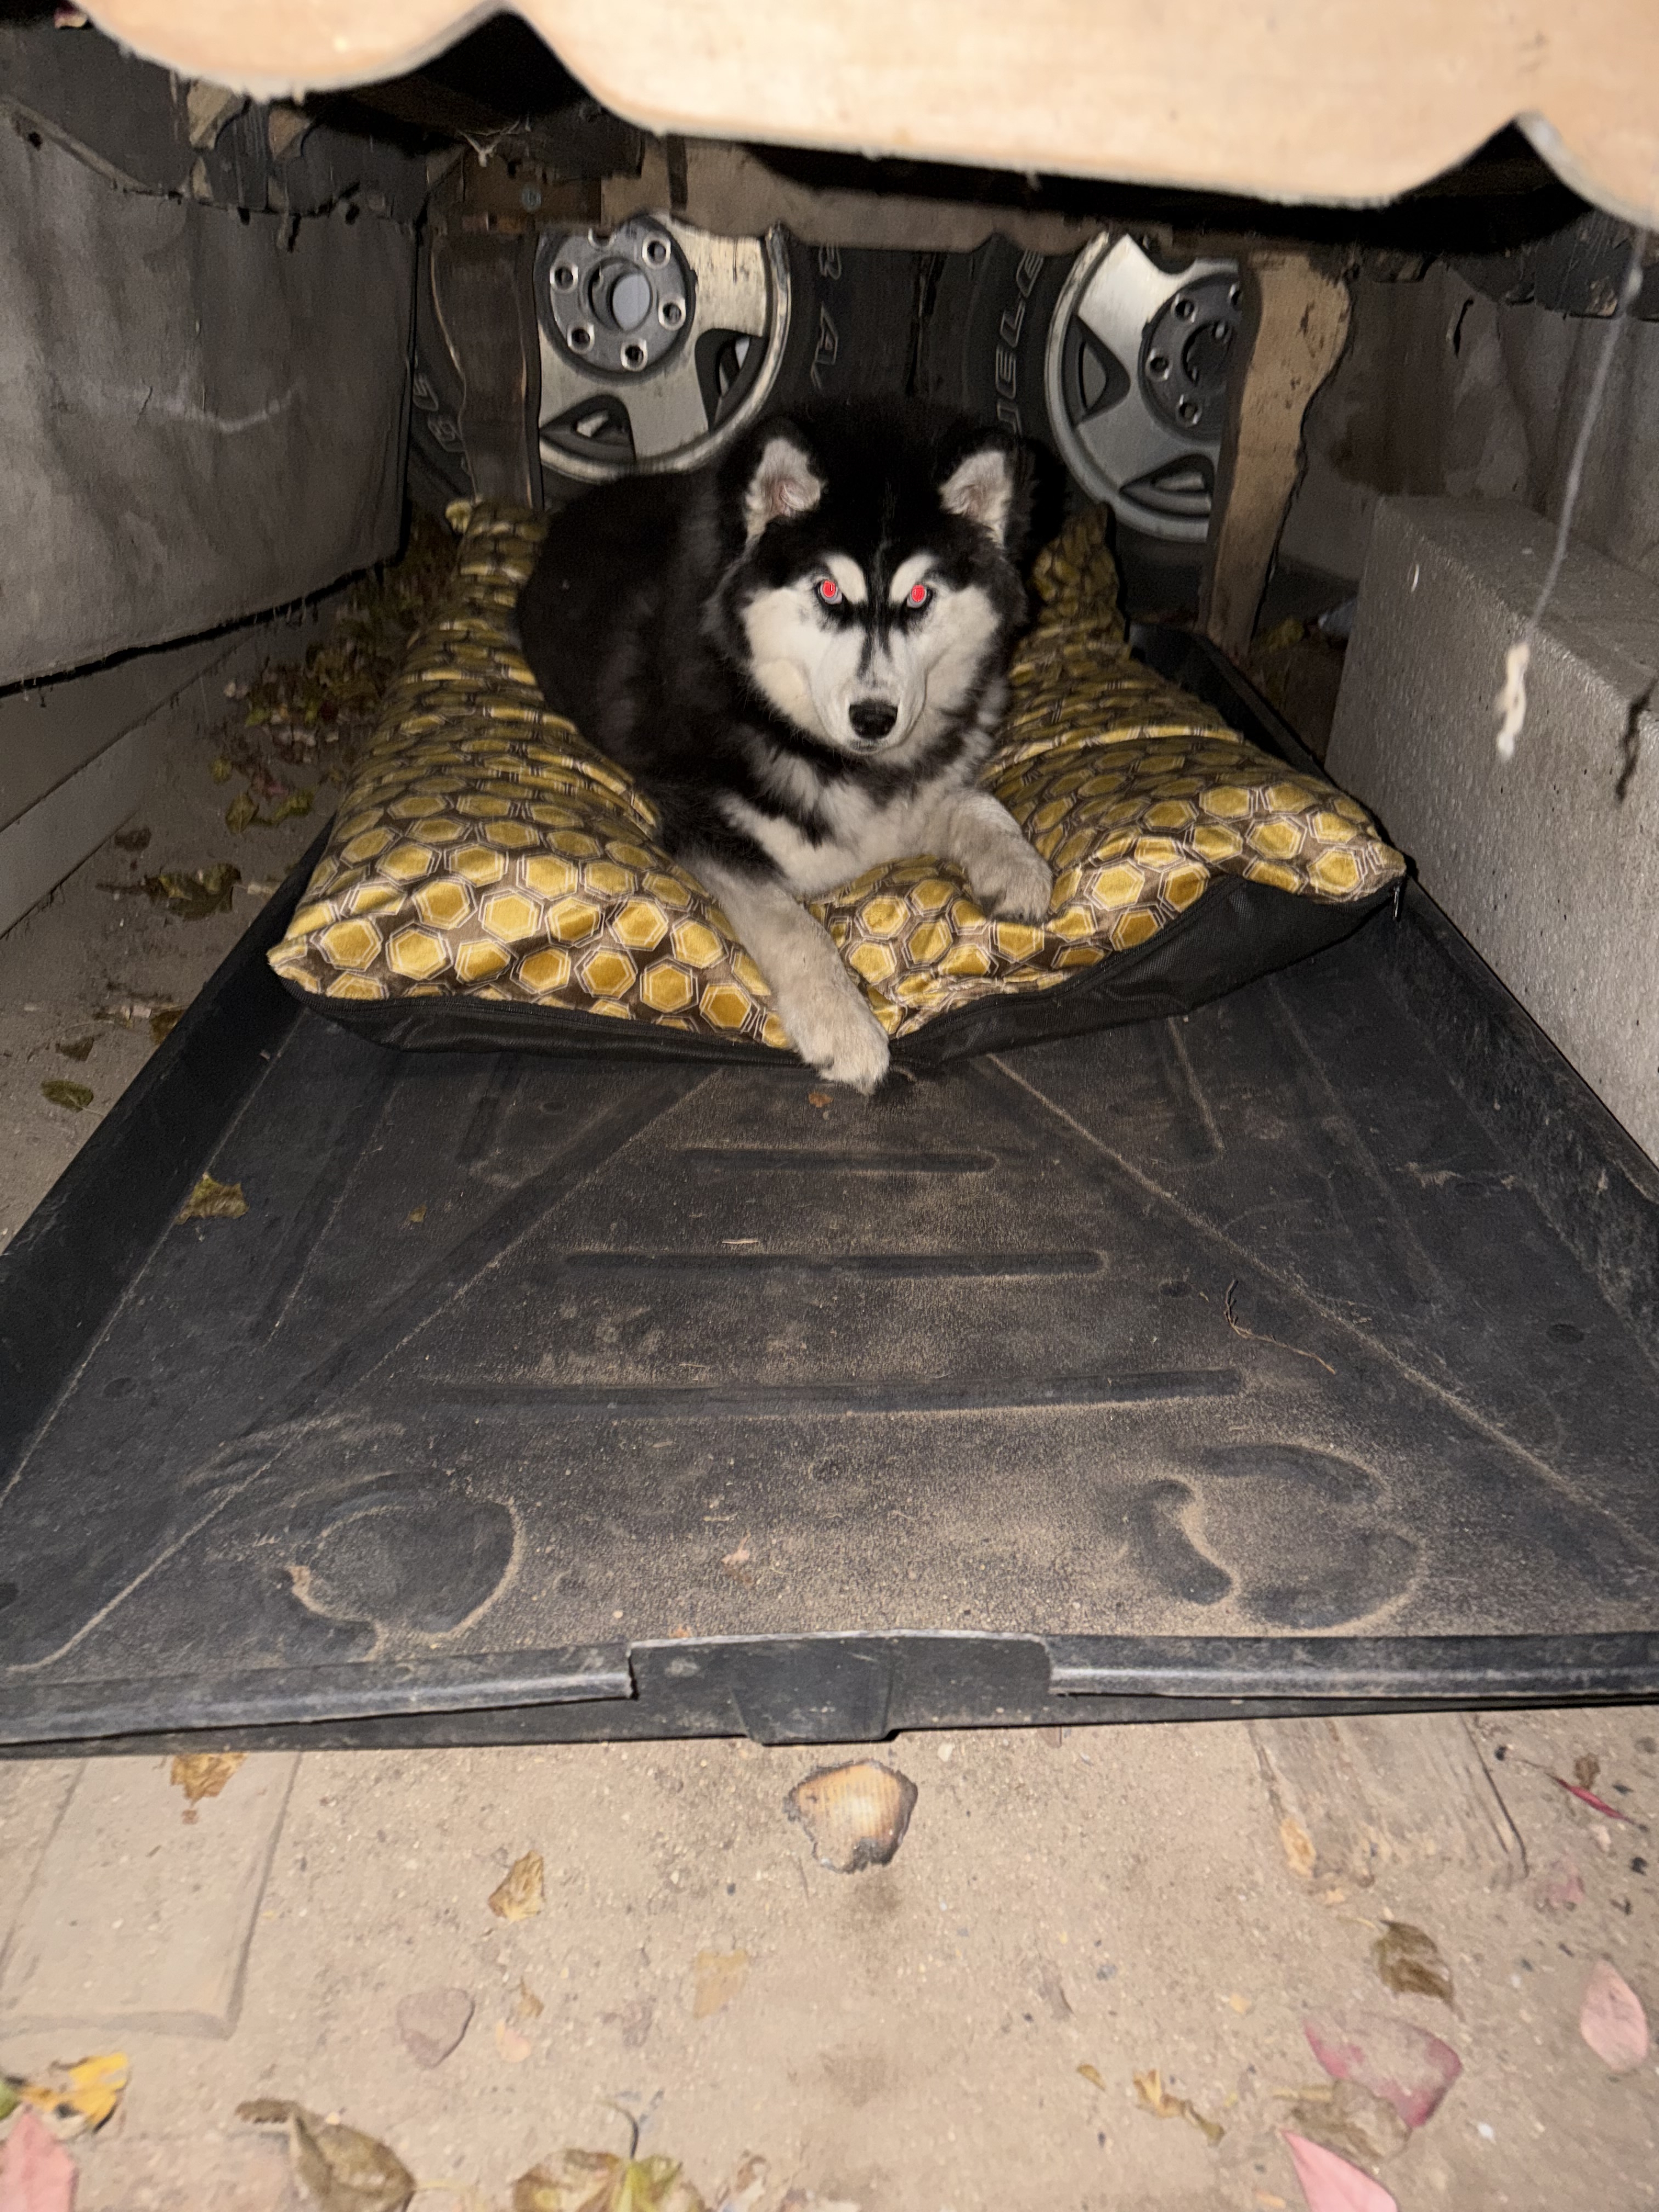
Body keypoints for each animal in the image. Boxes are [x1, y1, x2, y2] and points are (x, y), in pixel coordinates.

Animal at [517, 402, 1051, 1090]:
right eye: (827, 591)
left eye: (919, 596)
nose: (874, 718)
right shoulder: (702, 822)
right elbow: (788, 922)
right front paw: (843, 1024)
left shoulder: (904, 804)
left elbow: (973, 802)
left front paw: (1016, 863)